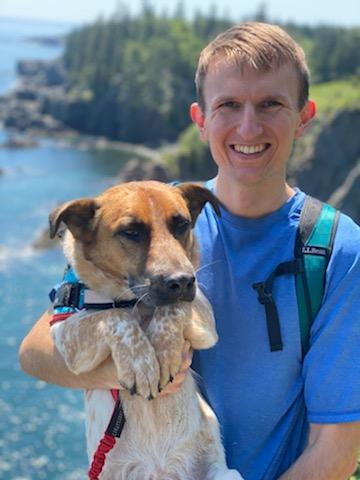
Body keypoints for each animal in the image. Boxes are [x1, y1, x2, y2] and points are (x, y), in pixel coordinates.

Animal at [47, 181, 243, 480]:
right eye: (131, 232)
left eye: (182, 225)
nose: (182, 281)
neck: (133, 302)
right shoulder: (64, 335)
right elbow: (113, 316)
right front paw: (142, 365)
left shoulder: (204, 314)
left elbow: (173, 307)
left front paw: (162, 351)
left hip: (228, 474)